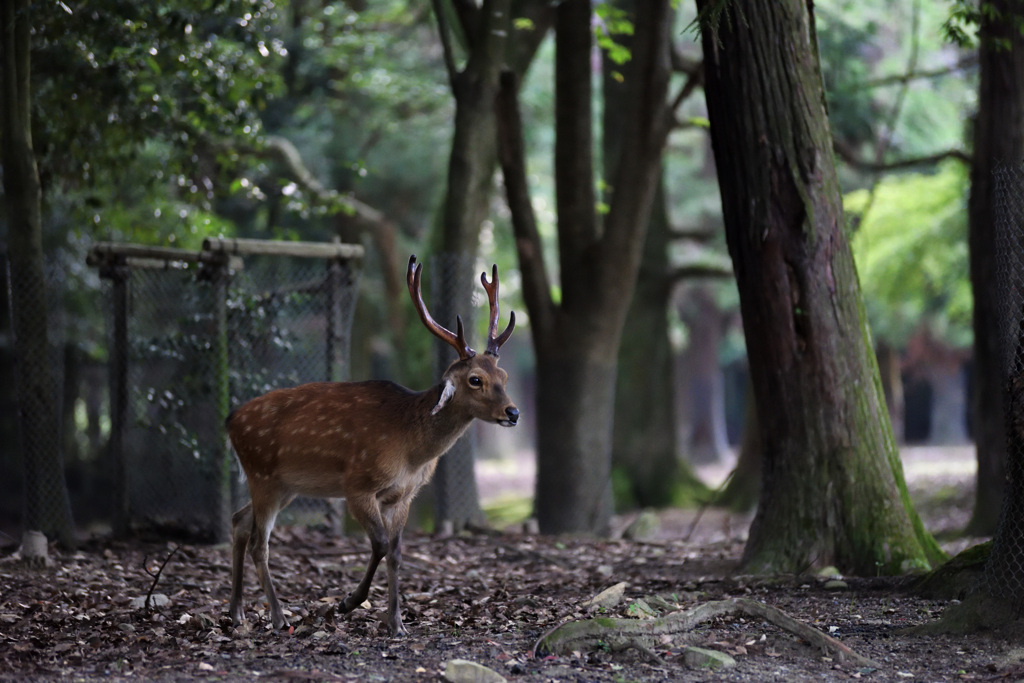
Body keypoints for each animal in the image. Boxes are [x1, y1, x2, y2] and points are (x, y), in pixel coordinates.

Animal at [223, 254, 512, 634]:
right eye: (475, 379)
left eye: (503, 376)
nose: (513, 412)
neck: (411, 451)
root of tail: (230, 421)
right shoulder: (357, 485)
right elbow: (380, 544)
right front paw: (348, 602)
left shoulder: (403, 495)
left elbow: (397, 552)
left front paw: (397, 623)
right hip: (262, 475)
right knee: (260, 542)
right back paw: (278, 615)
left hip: (284, 485)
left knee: (239, 520)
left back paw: (237, 611)